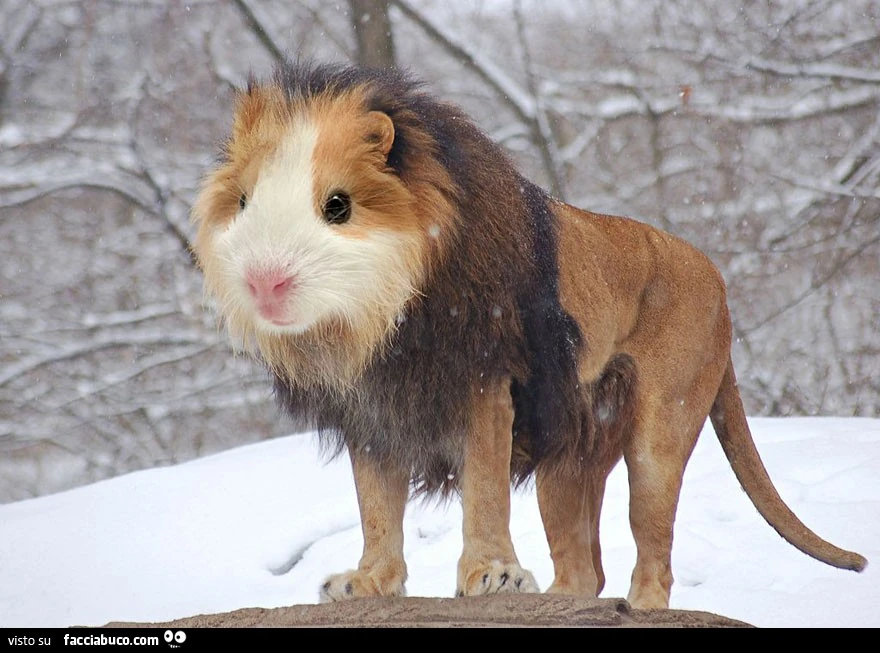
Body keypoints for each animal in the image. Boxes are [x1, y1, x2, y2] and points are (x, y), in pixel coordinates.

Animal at [191, 60, 866, 609]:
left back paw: (635, 605)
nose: (264, 281)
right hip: (567, 460)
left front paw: (492, 575)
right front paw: (368, 582)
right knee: (586, 569)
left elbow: (484, 488)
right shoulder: (372, 412)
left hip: (660, 433)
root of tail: (720, 283)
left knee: (653, 554)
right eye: (244, 203)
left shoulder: (486, 380)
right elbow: (377, 507)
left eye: (337, 206)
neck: (380, 324)